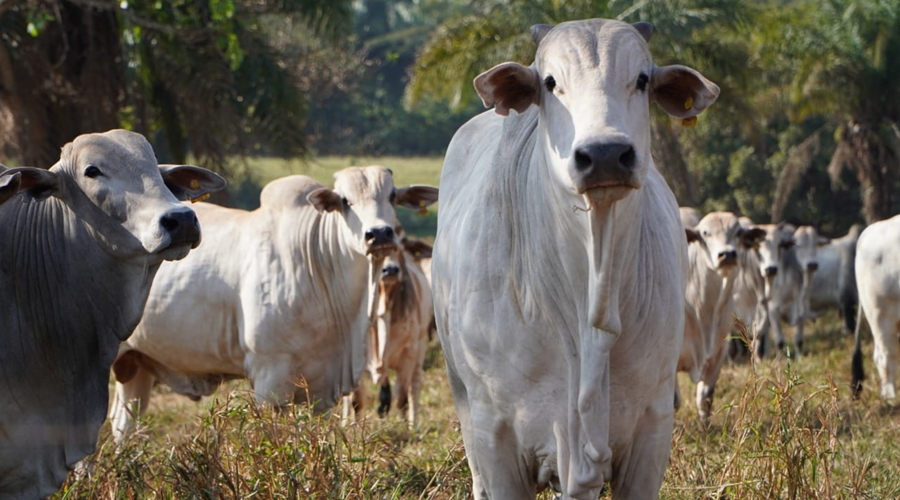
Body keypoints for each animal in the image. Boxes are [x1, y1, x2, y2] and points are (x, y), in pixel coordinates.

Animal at [110, 168, 438, 442]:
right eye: (345, 201)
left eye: (392, 196)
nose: (379, 234)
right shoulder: (269, 381)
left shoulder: (321, 390)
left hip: (136, 365)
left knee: (123, 425)